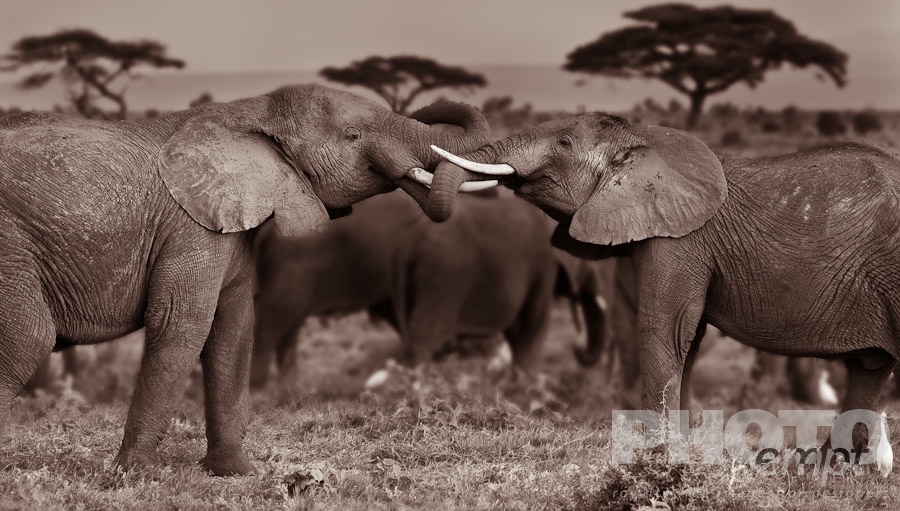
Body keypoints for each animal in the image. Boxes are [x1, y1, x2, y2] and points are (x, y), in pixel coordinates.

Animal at [0, 84, 488, 475]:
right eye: (352, 136)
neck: (247, 113)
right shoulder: (188, 227)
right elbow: (181, 325)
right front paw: (133, 474)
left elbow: (233, 328)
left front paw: (235, 472)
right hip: (12, 249)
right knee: (28, 338)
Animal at [251, 190, 558, 387]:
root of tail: (266, 231)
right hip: (295, 266)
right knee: (273, 318)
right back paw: (259, 389)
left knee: (288, 324)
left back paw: (288, 387)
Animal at [421, 112, 900, 425]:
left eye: (563, 144)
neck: (644, 142)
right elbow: (688, 337)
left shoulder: (681, 240)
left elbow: (665, 328)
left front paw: (655, 451)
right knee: (870, 371)